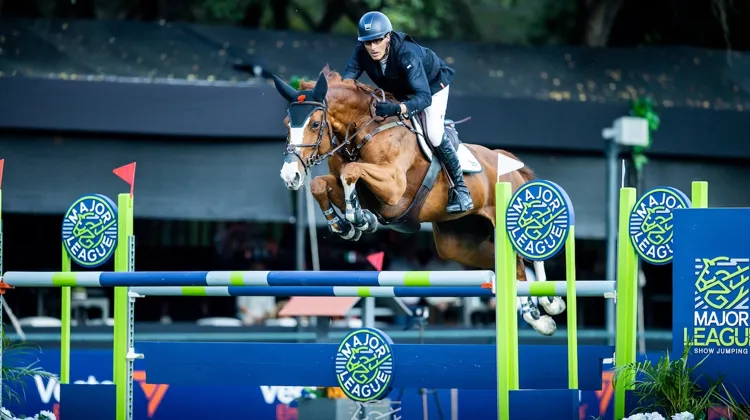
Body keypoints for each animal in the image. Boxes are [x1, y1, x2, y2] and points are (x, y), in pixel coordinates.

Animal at [271, 65, 566, 336]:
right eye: (286, 124)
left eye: (314, 124)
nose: (289, 175)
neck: (365, 128)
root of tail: (509, 163)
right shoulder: (360, 189)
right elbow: (321, 184)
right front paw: (344, 225)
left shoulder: (393, 188)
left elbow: (350, 172)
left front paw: (359, 220)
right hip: (458, 243)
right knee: (510, 267)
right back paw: (542, 314)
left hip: (508, 219)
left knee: (525, 258)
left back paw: (547, 307)